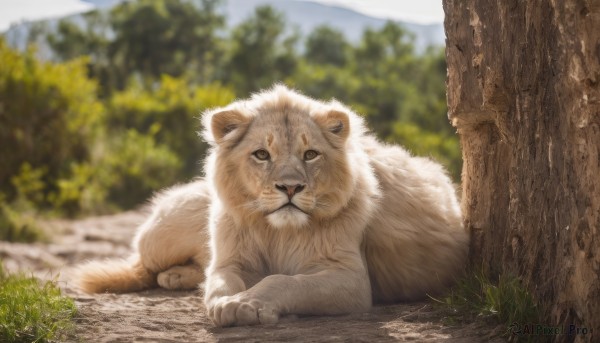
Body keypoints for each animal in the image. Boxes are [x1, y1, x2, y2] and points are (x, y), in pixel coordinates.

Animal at [75, 86, 468, 328]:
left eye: (310, 155)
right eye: (262, 154)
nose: (290, 187)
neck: (277, 231)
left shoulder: (350, 279)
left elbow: (282, 280)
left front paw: (247, 305)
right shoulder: (233, 259)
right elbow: (220, 281)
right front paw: (225, 304)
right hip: (163, 234)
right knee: (144, 267)